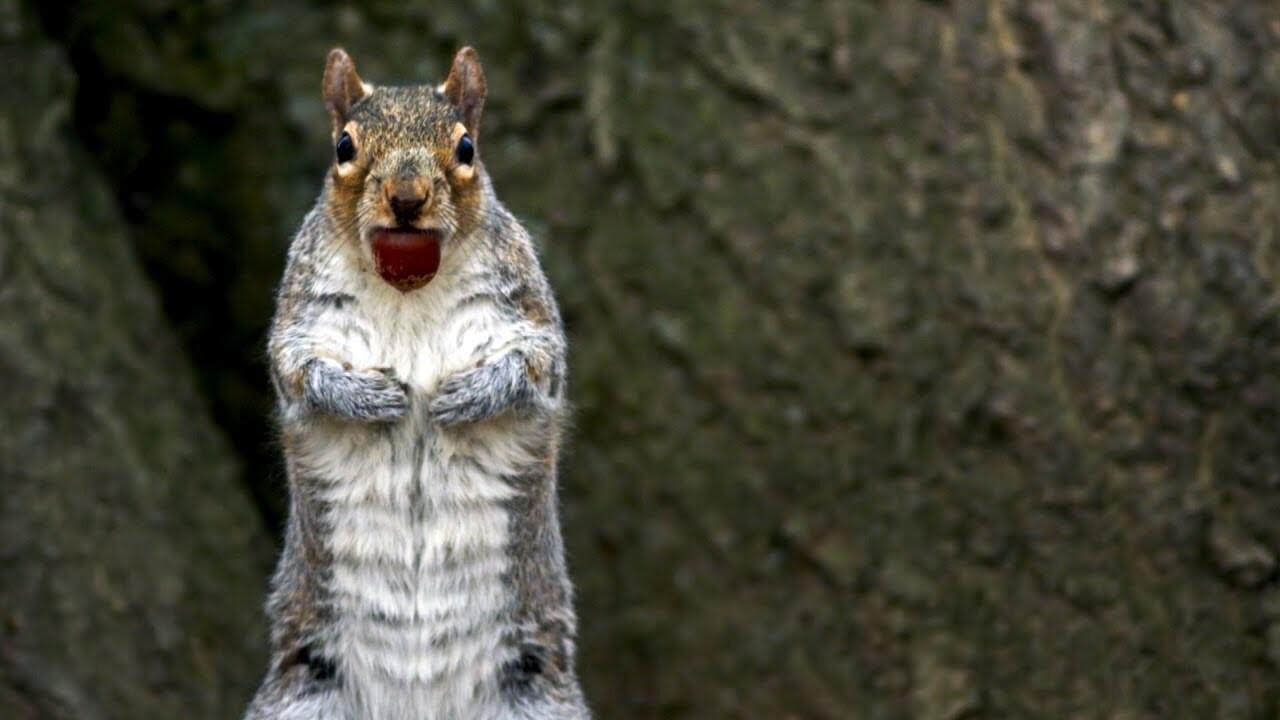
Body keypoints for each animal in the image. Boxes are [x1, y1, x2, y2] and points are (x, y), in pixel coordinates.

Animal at [241, 47, 586, 712]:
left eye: (467, 147)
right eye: (344, 146)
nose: (407, 197)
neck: (408, 289)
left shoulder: (529, 314)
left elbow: (537, 367)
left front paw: (467, 396)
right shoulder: (300, 321)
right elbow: (296, 373)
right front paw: (368, 397)